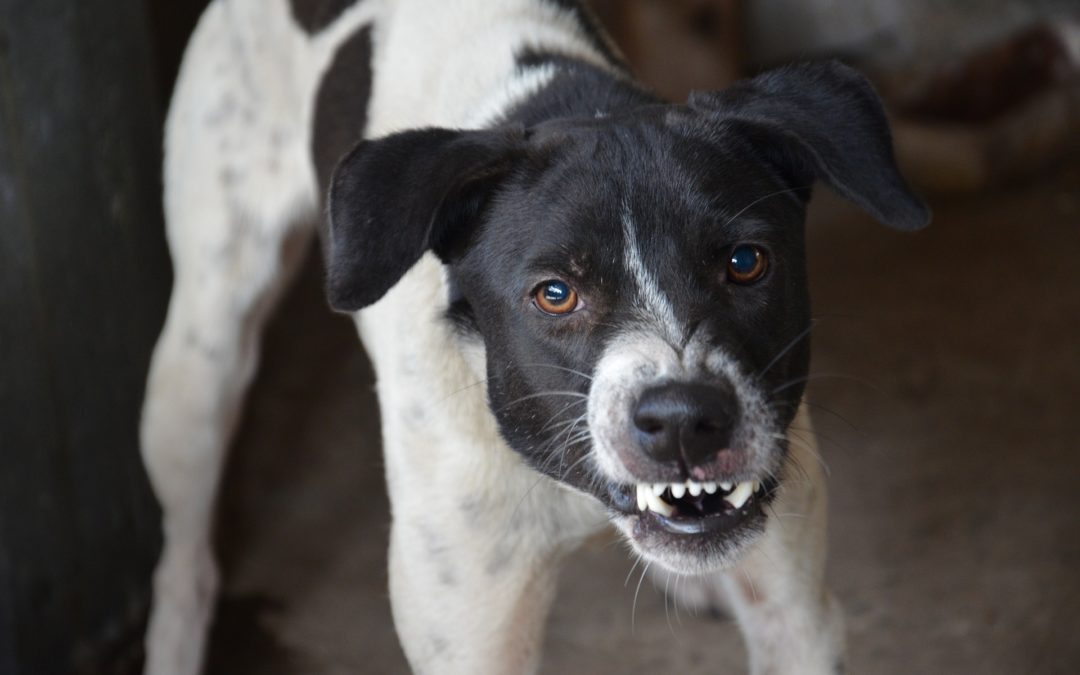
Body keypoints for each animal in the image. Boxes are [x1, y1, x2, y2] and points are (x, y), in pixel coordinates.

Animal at [137, 1, 928, 673]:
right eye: (554, 293)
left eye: (745, 262)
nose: (684, 420)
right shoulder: (471, 636)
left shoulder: (797, 616)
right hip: (200, 360)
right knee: (185, 558)